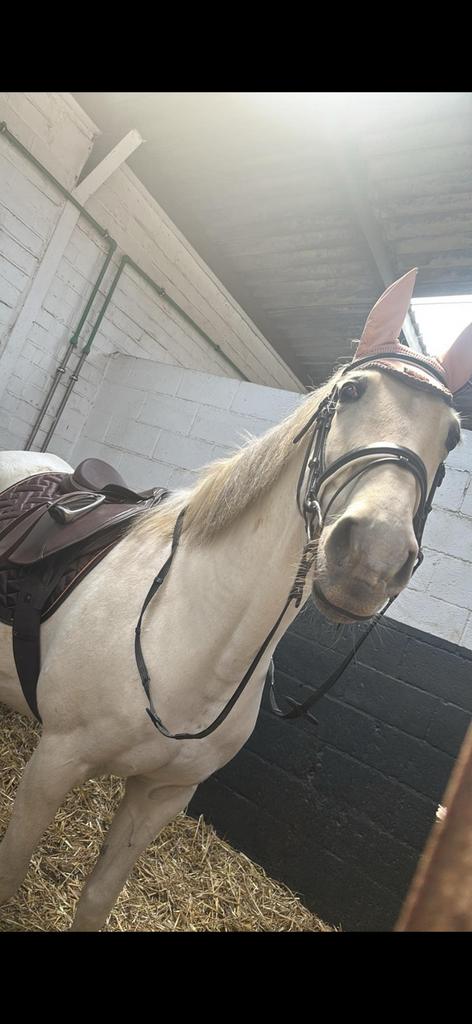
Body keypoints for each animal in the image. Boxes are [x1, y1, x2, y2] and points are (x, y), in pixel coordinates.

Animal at [0, 269, 470, 931]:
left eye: (452, 435)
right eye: (352, 392)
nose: (371, 558)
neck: (186, 634)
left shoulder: (160, 798)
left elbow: (96, 901)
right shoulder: (54, 764)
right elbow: (9, 876)